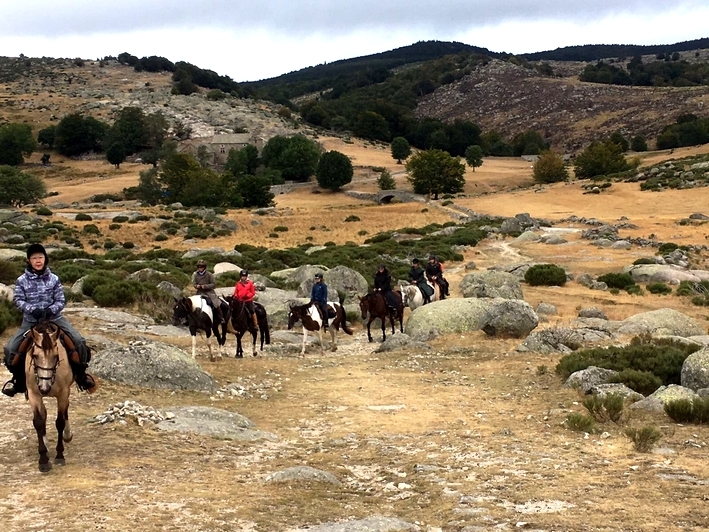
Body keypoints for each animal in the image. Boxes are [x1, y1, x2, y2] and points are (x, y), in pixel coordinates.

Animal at [25, 320, 75, 474]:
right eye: (35, 356)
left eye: (56, 356)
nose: (44, 387)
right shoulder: (34, 394)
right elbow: (38, 421)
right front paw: (43, 460)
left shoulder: (63, 393)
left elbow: (60, 422)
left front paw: (59, 455)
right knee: (44, 413)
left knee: (65, 410)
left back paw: (67, 435)